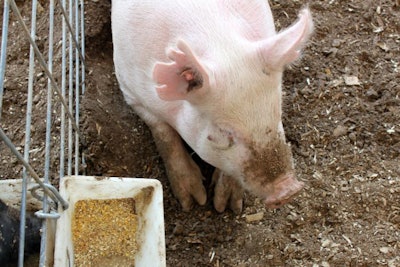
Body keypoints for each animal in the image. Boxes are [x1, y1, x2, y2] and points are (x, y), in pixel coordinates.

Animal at [111, 0, 314, 214]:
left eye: (276, 113)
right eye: (224, 131)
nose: (288, 190)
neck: (217, 40)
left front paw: (227, 207)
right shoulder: (130, 90)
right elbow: (164, 136)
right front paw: (193, 201)